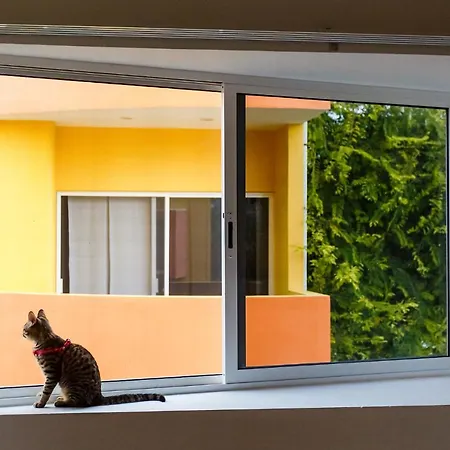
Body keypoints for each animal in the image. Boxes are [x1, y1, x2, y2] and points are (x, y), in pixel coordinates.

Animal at [23, 309, 166, 408]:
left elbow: (46, 391)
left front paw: (40, 403)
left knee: (78, 402)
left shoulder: (52, 373)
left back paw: (63, 402)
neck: (46, 338)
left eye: (24, 328)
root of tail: (99, 396)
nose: (21, 333)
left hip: (71, 385)